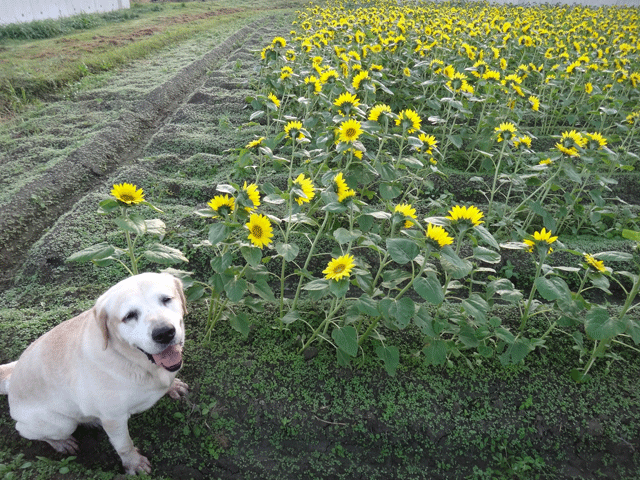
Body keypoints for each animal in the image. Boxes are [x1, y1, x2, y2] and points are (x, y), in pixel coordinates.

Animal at [0, 272, 189, 474]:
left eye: (166, 299)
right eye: (129, 316)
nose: (164, 333)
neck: (130, 359)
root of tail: (11, 381)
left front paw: (173, 386)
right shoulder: (114, 419)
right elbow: (124, 445)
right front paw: (134, 463)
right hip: (61, 424)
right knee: (27, 431)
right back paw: (61, 443)